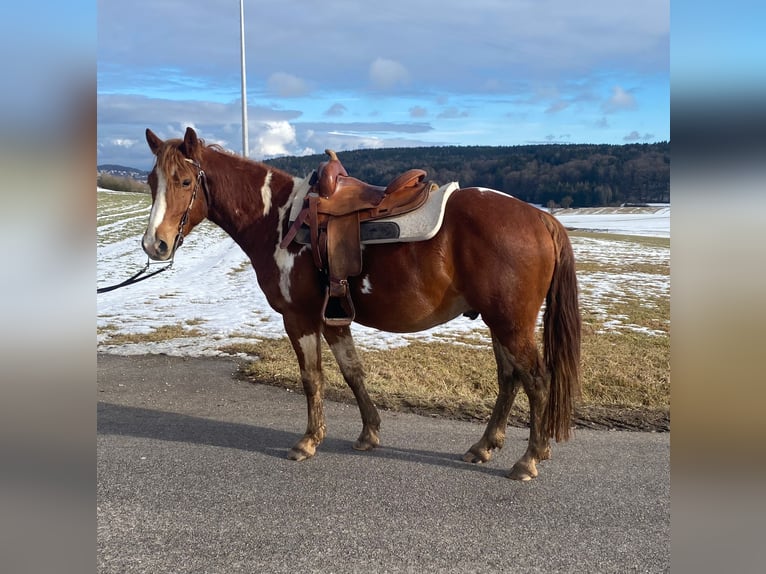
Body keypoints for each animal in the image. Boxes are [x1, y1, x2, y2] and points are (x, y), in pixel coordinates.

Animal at [141, 127, 581, 480]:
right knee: (510, 378)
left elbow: (312, 378)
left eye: (184, 181)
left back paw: (528, 460)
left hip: (510, 322)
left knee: (536, 380)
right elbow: (353, 372)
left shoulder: (299, 318)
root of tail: (540, 218)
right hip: (499, 322)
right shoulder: (333, 319)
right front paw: (369, 433)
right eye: (150, 181)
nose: (154, 244)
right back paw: (485, 446)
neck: (280, 220)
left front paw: (308, 441)